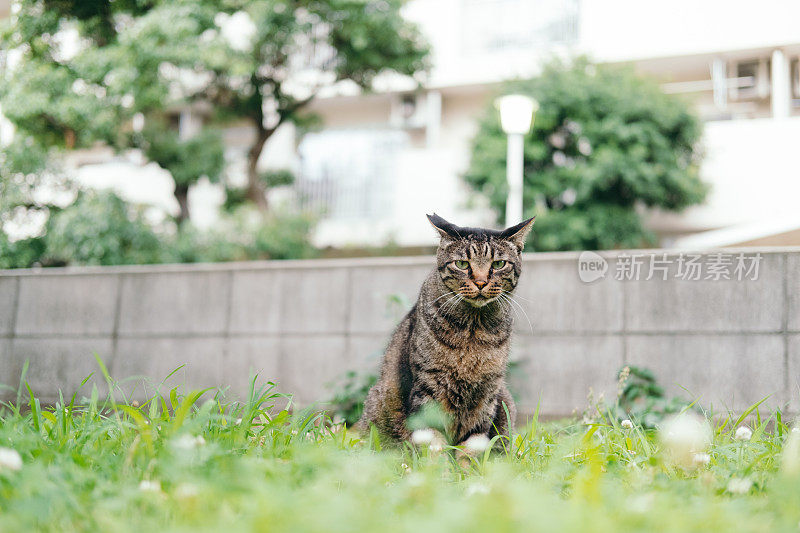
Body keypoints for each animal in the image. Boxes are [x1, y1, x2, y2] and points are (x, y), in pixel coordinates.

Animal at [360, 212, 536, 444]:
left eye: (498, 264)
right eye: (462, 263)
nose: (481, 282)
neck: (473, 329)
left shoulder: (488, 393)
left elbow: (473, 444)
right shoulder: (428, 386)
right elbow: (433, 439)